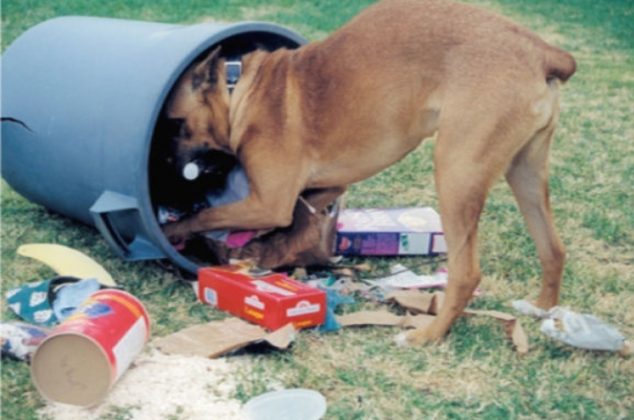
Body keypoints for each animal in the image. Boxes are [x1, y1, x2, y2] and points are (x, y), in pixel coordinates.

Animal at [162, 0, 572, 342]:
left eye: (174, 125)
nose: (167, 185)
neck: (238, 90)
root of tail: (542, 51)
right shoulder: (322, 189)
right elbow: (295, 222)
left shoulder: (266, 203)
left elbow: (206, 216)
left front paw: (173, 231)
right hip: (525, 174)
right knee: (553, 248)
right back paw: (541, 309)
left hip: (457, 174)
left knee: (466, 273)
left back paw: (427, 335)